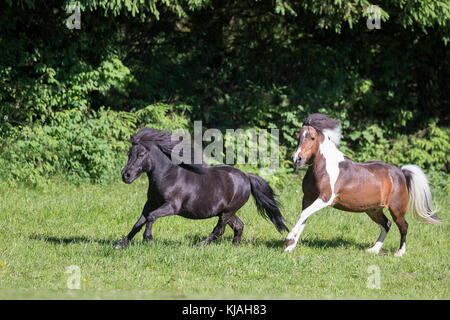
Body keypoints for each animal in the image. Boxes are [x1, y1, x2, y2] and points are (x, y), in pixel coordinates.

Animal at [116, 127, 288, 248]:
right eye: (129, 153)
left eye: (141, 155)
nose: (126, 175)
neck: (167, 177)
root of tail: (246, 176)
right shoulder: (150, 203)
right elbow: (139, 222)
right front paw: (121, 243)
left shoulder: (172, 206)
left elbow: (151, 217)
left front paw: (148, 239)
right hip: (226, 212)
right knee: (238, 226)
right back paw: (234, 246)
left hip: (227, 212)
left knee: (219, 230)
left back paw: (199, 245)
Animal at [286, 114, 442, 256]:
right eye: (298, 137)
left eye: (312, 137)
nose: (297, 159)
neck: (322, 167)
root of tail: (401, 172)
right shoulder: (308, 198)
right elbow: (304, 217)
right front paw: (290, 247)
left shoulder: (325, 198)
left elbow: (304, 214)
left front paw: (288, 238)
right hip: (373, 210)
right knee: (386, 224)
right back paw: (374, 250)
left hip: (397, 209)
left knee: (403, 226)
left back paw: (400, 252)